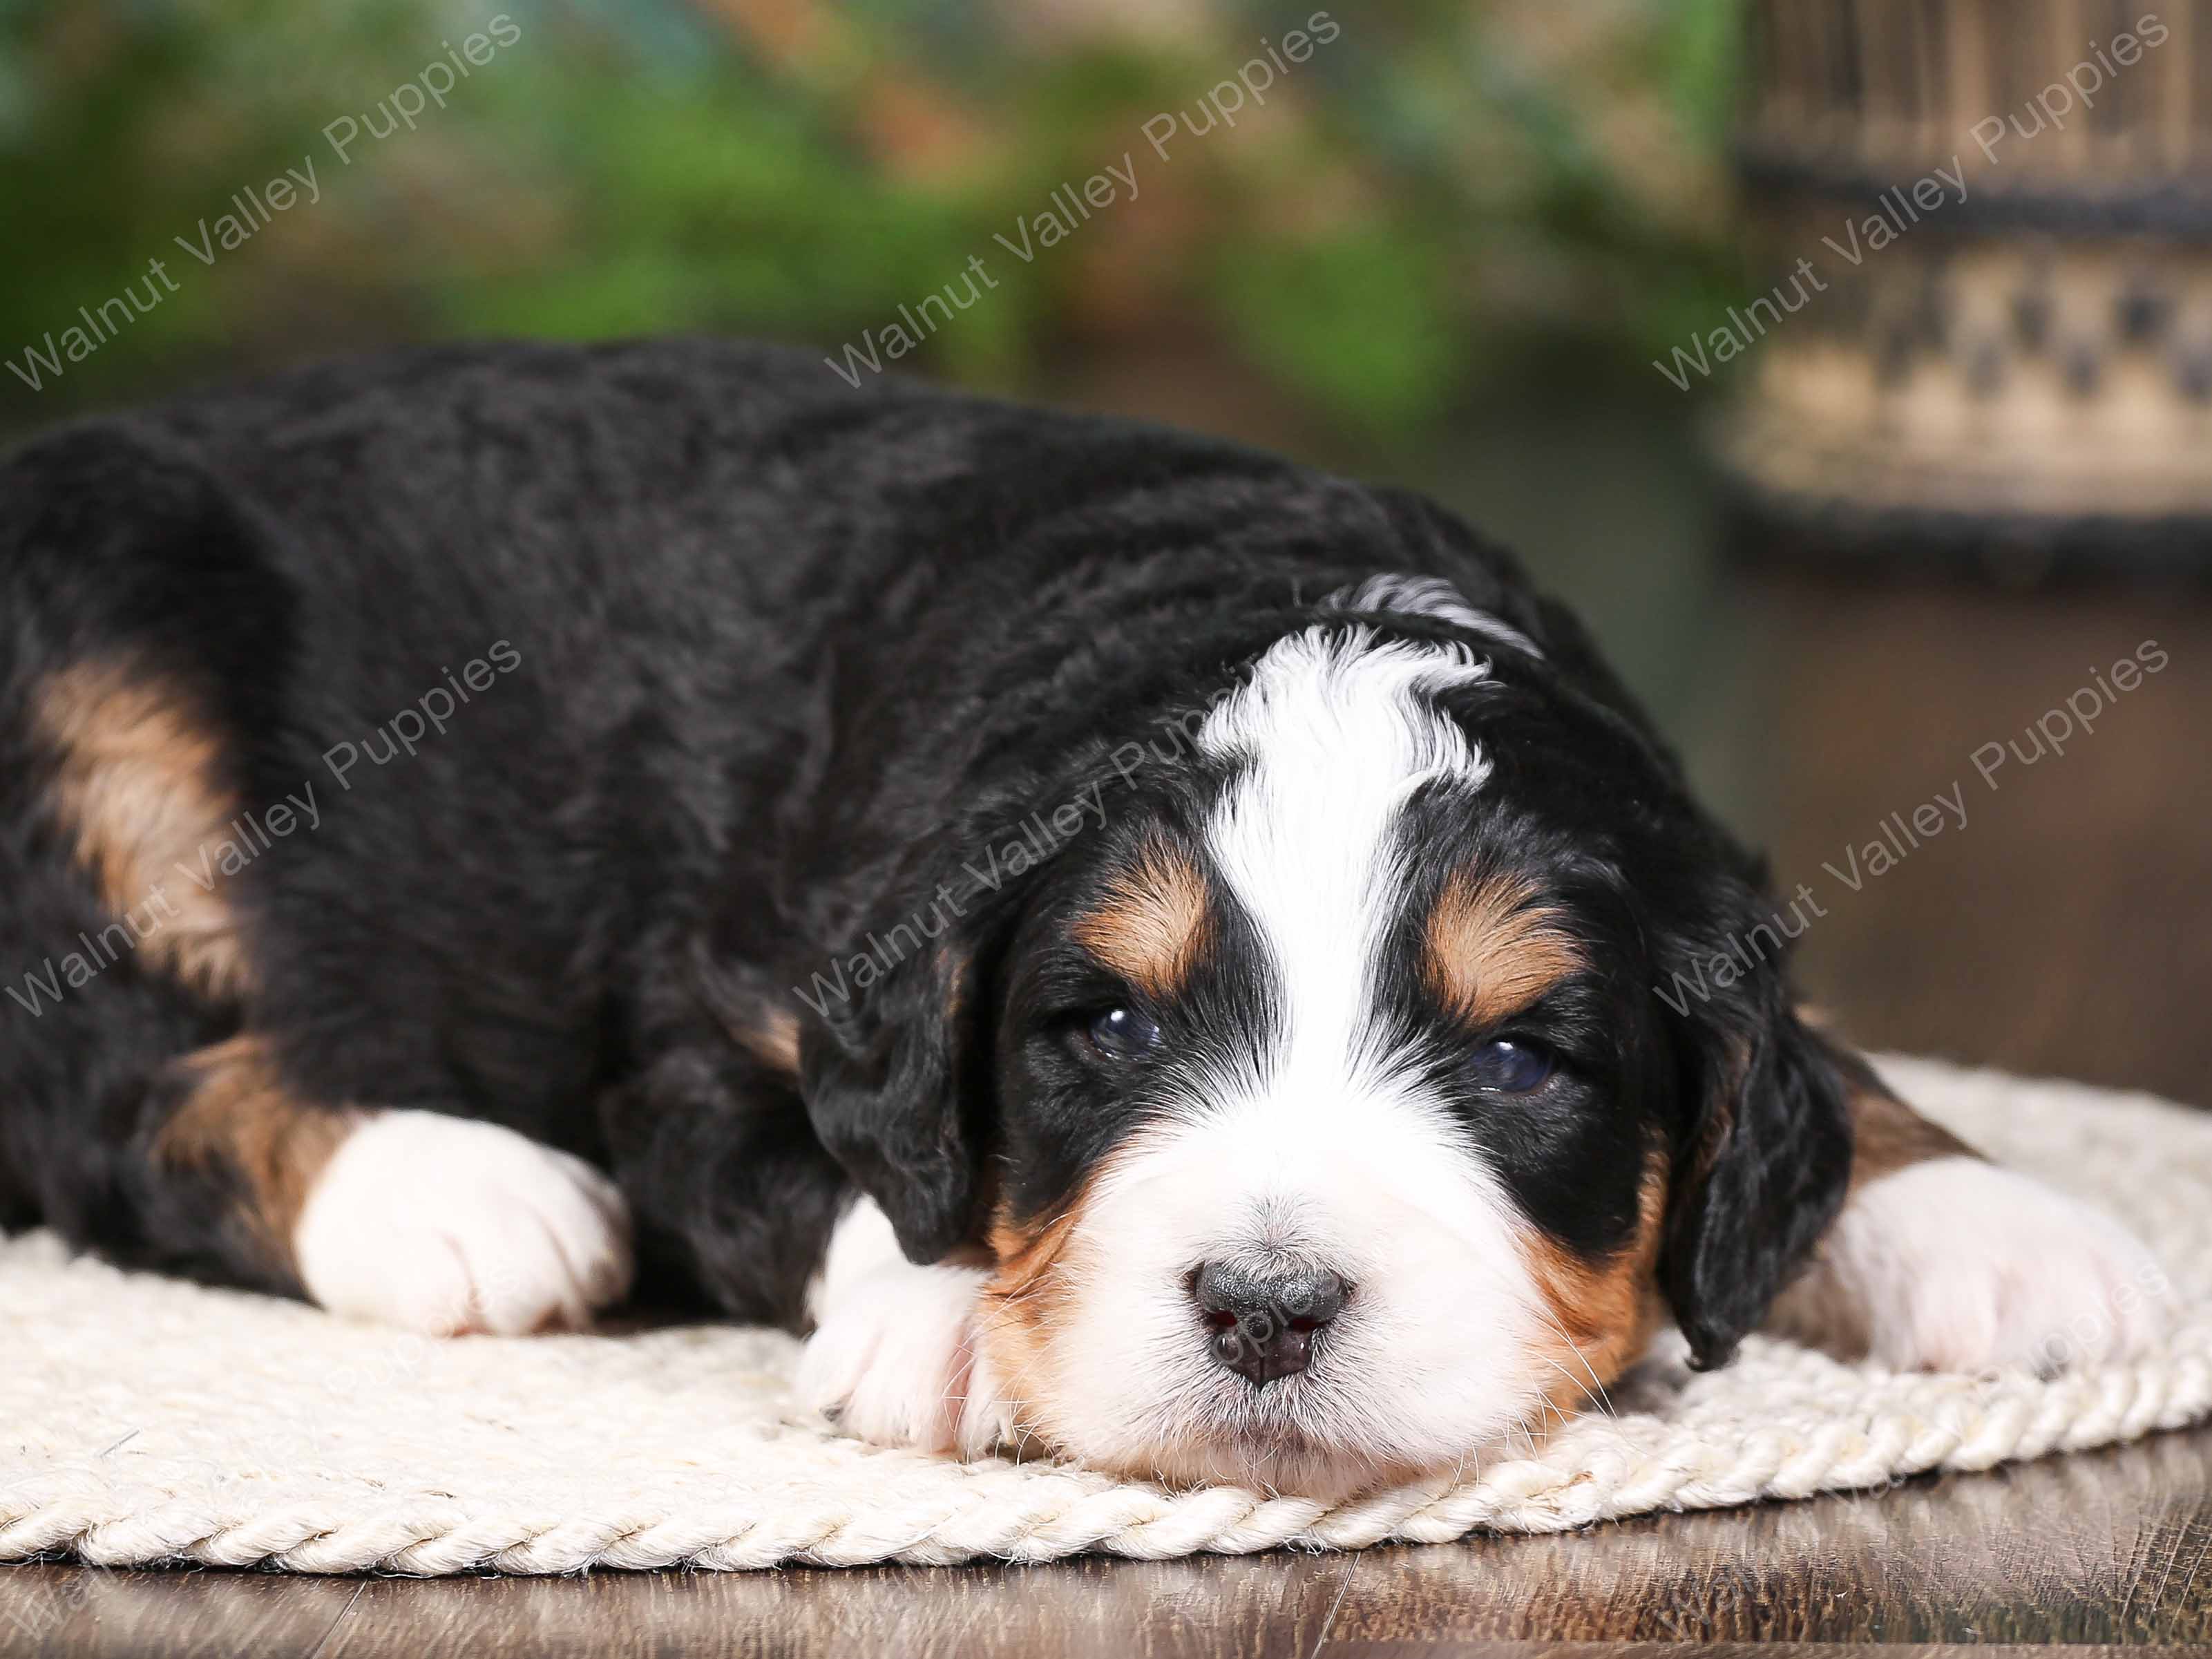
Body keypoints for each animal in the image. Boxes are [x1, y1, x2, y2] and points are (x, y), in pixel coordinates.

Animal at [0, 340, 2167, 1499]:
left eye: (1521, 1056)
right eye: (1103, 1029)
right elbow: (833, 1167)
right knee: (103, 1097)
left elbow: (1824, 1066)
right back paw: (462, 1197)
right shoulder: (714, 1001)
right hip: (89, 700)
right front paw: (955, 1316)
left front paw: (1996, 1222)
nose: (1267, 1310)